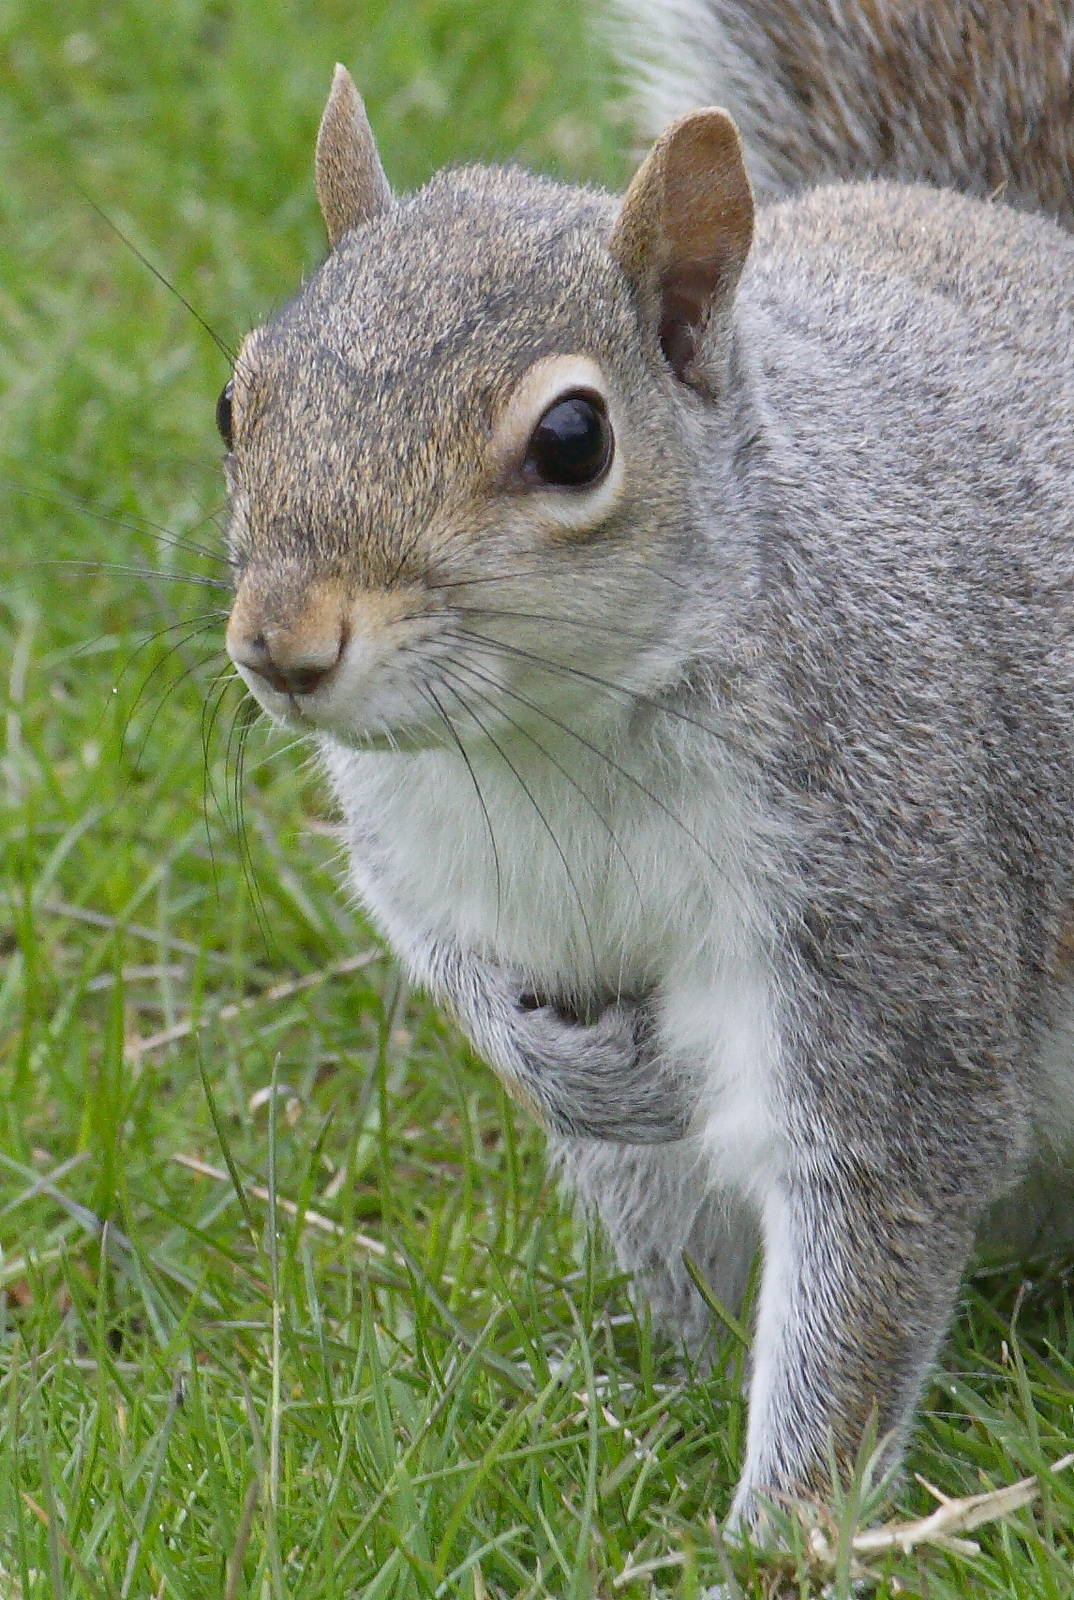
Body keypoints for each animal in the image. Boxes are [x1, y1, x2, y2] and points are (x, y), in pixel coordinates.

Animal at [219, 57, 1074, 1530]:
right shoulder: (416, 848)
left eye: (573, 439)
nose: (282, 645)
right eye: (237, 401)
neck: (554, 739)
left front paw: (782, 1532)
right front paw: (556, 1061)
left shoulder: (888, 888)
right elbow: (445, 956)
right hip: (652, 1187)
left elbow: (878, 1203)